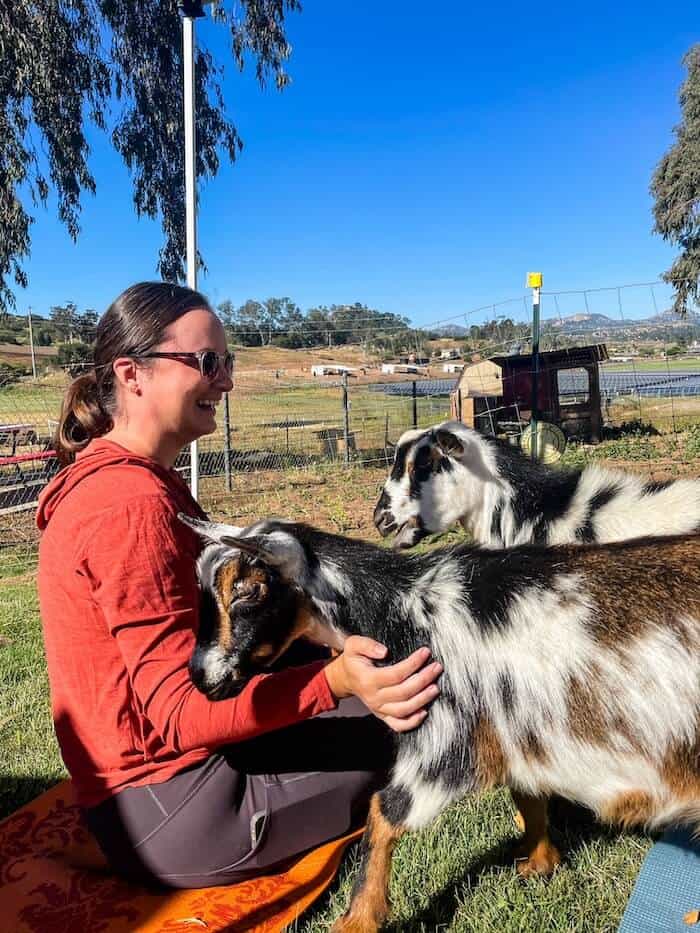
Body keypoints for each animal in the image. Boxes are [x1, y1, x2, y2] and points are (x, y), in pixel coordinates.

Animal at [180, 513, 700, 933]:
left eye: (248, 589)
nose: (200, 676)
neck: (404, 609)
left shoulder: (445, 742)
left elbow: (382, 812)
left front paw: (357, 920)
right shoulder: (514, 734)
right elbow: (526, 792)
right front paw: (539, 862)